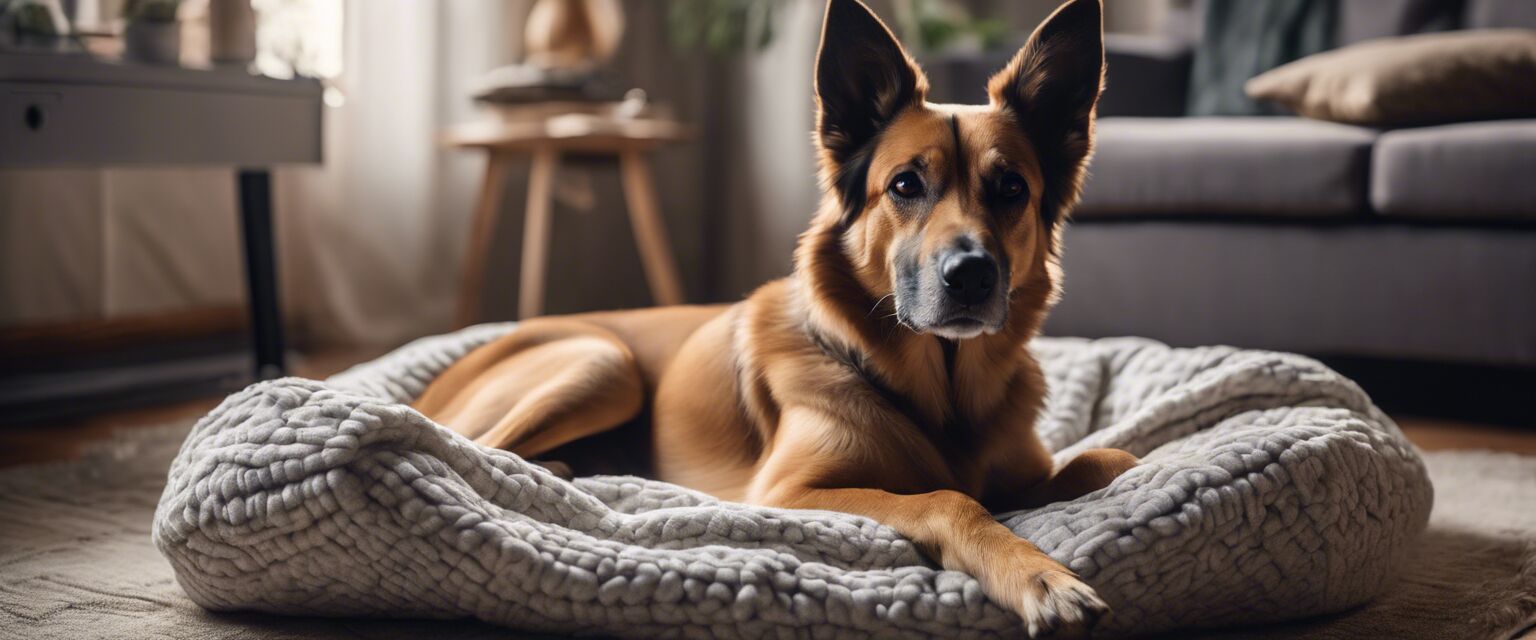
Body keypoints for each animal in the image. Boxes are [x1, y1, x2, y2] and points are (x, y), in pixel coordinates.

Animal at [420, 0, 1142, 632]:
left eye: (1011, 188)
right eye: (905, 184)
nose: (971, 275)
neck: (936, 396)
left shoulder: (1031, 473)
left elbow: (1111, 457)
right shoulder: (788, 494)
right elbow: (948, 498)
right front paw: (1039, 578)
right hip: (603, 361)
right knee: (477, 449)